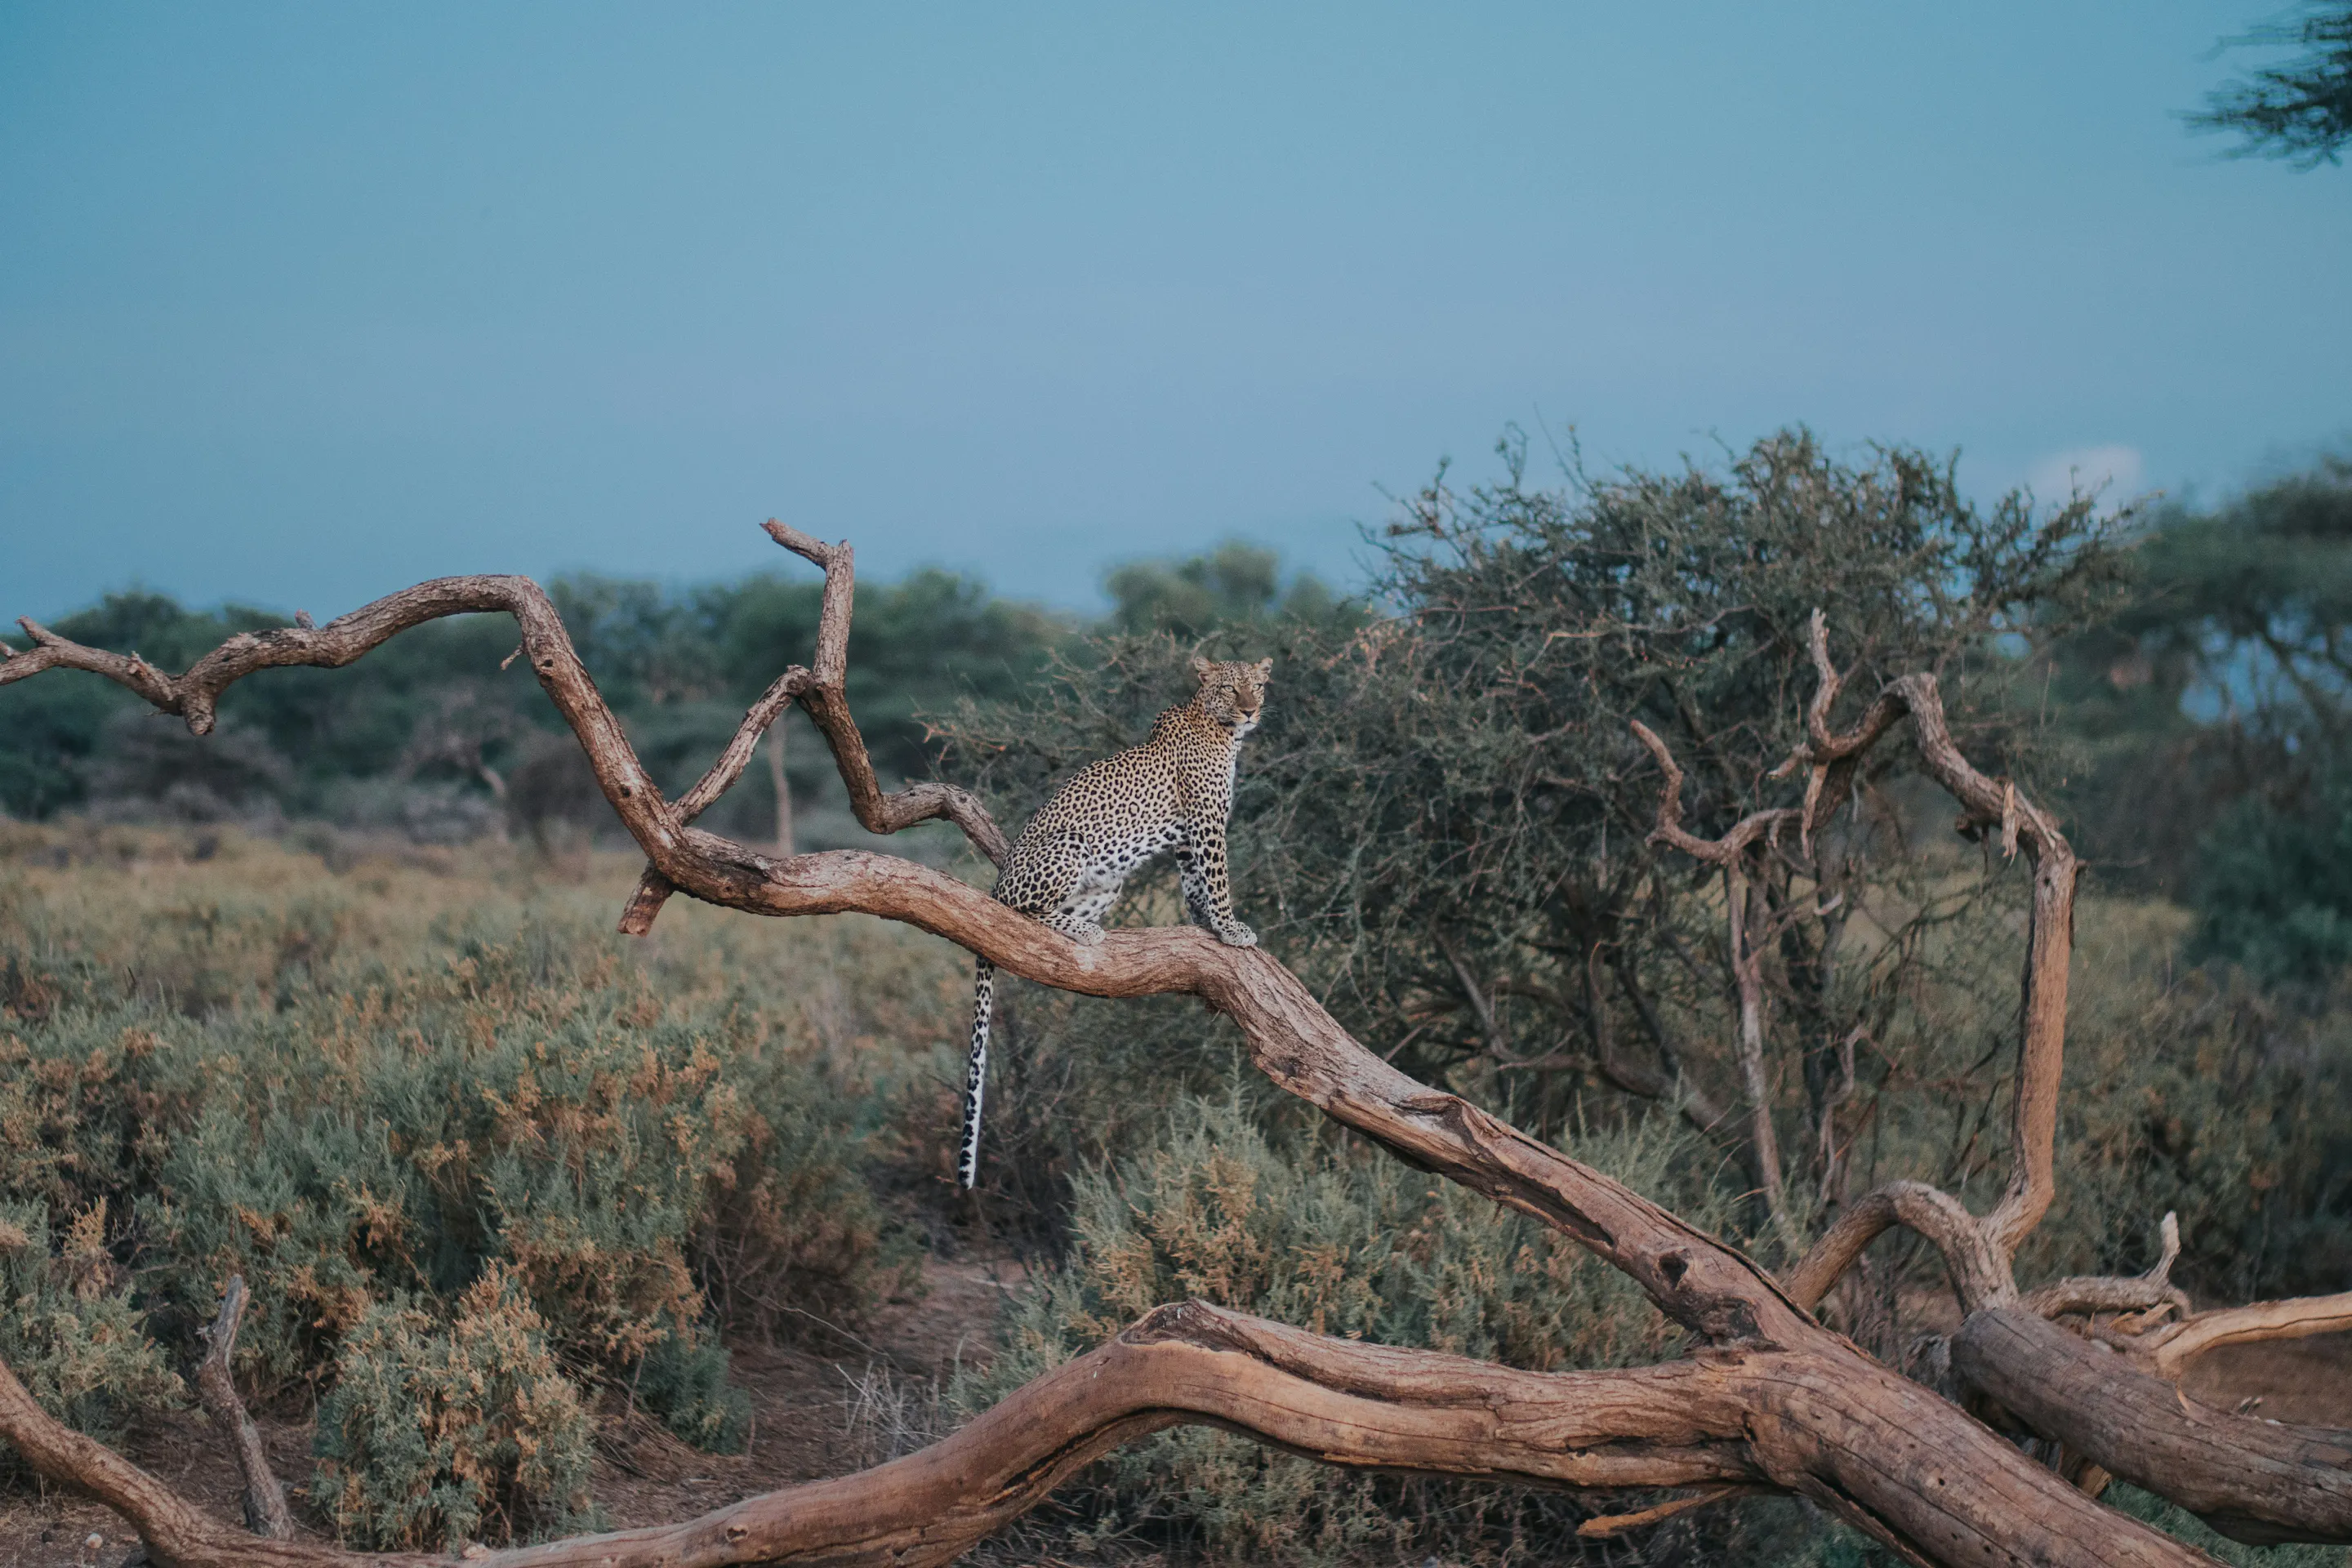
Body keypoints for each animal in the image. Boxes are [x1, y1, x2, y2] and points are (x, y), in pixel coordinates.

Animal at [957, 656, 1272, 1189]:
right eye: (1231, 689)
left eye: (1257, 685)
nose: (1250, 711)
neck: (1222, 731)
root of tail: (997, 882)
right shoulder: (1207, 825)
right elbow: (1218, 879)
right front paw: (1232, 929)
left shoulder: (1186, 838)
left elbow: (1195, 884)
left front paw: (1205, 924)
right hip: (1070, 847)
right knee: (1022, 914)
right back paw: (1083, 931)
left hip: (1108, 882)